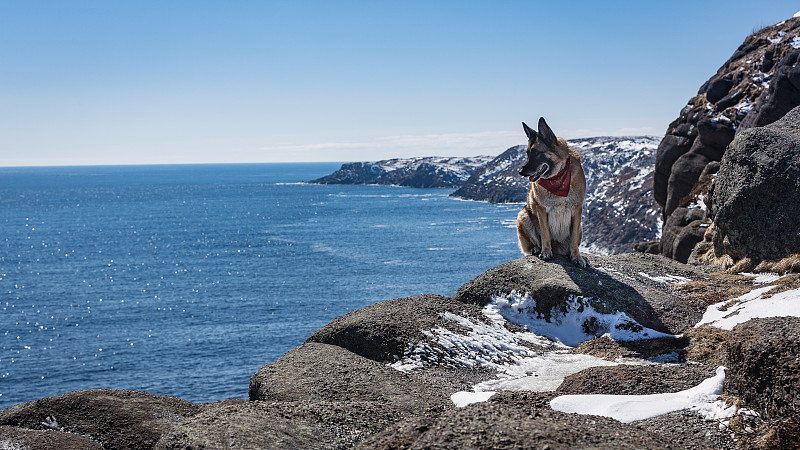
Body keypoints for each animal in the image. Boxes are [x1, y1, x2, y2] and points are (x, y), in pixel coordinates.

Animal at [516, 118, 584, 268]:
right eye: (527, 153)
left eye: (536, 152)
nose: (520, 172)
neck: (558, 175)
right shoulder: (541, 209)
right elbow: (545, 233)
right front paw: (546, 252)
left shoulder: (577, 210)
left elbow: (573, 239)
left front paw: (577, 257)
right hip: (523, 215)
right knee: (534, 242)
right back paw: (537, 248)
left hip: (581, 227)